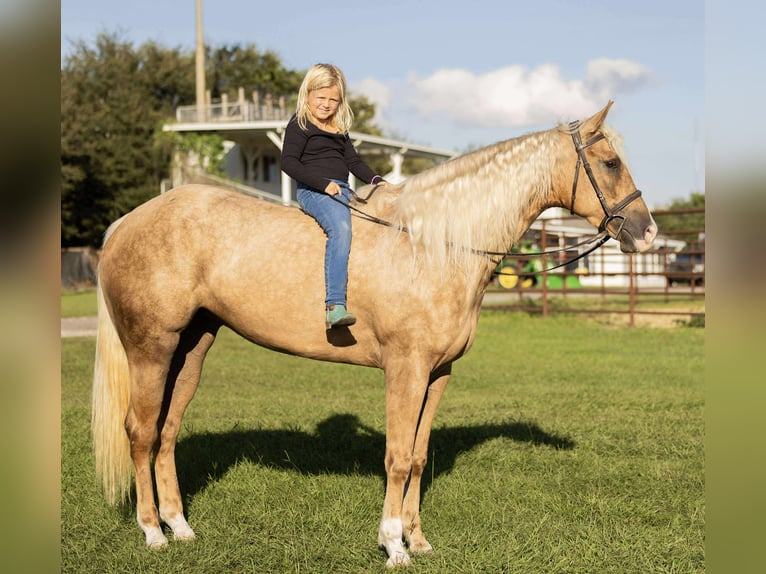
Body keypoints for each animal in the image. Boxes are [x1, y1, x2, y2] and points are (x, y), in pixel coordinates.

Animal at [92, 101, 657, 567]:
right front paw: (393, 545)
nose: (646, 232)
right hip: (151, 348)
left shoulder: (438, 373)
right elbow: (397, 457)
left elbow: (419, 456)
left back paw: (181, 527)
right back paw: (153, 533)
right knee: (140, 432)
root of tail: (125, 223)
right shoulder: (405, 370)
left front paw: (418, 540)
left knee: (167, 431)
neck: (431, 245)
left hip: (193, 347)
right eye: (610, 162)